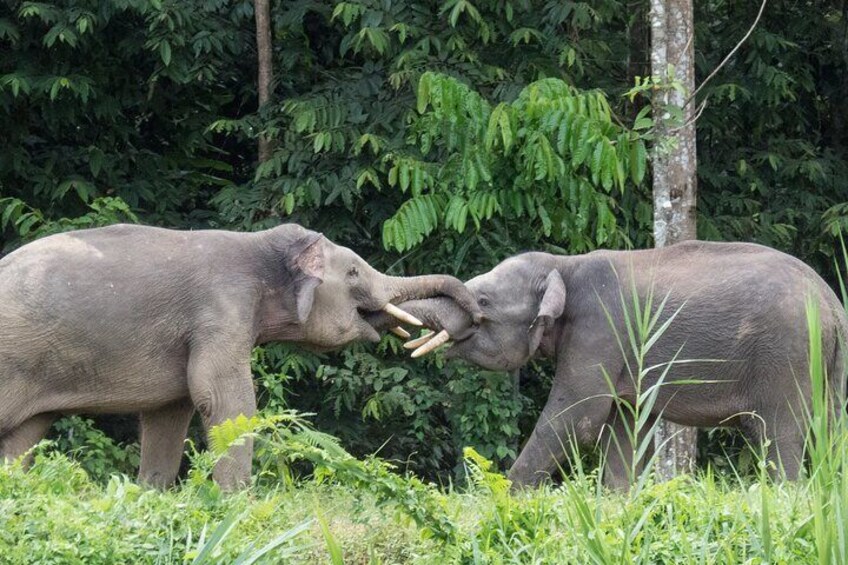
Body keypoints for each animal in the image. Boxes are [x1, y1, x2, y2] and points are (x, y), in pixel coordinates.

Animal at [0, 223, 480, 489]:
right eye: (353, 272)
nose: (477, 314)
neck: (261, 246)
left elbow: (169, 413)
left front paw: (152, 494)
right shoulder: (221, 309)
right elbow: (224, 400)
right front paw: (238, 504)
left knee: (24, 437)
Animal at [385, 241, 848, 490]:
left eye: (482, 301)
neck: (565, 265)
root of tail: (830, 301)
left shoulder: (600, 330)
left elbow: (577, 417)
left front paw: (503, 496)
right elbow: (626, 426)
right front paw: (618, 503)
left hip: (785, 355)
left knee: (779, 433)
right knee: (829, 430)